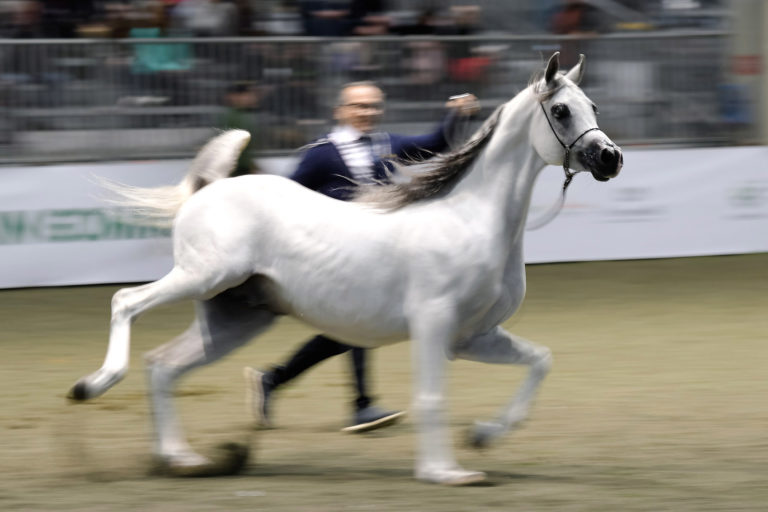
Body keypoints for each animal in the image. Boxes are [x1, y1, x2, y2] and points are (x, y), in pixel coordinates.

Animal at [70, 54, 624, 486]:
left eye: (593, 107)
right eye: (560, 110)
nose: (610, 158)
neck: (472, 219)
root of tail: (207, 189)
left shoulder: (472, 336)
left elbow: (539, 362)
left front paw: (484, 437)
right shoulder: (434, 325)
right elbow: (431, 396)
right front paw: (445, 473)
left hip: (235, 318)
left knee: (163, 364)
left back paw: (182, 459)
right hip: (204, 276)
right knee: (126, 302)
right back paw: (92, 386)